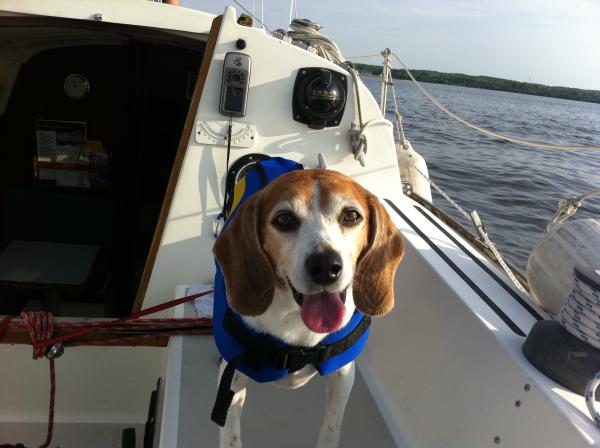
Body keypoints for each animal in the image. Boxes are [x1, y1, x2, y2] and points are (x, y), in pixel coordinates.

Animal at [212, 169, 404, 448]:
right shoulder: (233, 376)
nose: (325, 266)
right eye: (283, 219)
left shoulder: (343, 373)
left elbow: (331, 426)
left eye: (351, 215)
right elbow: (230, 435)